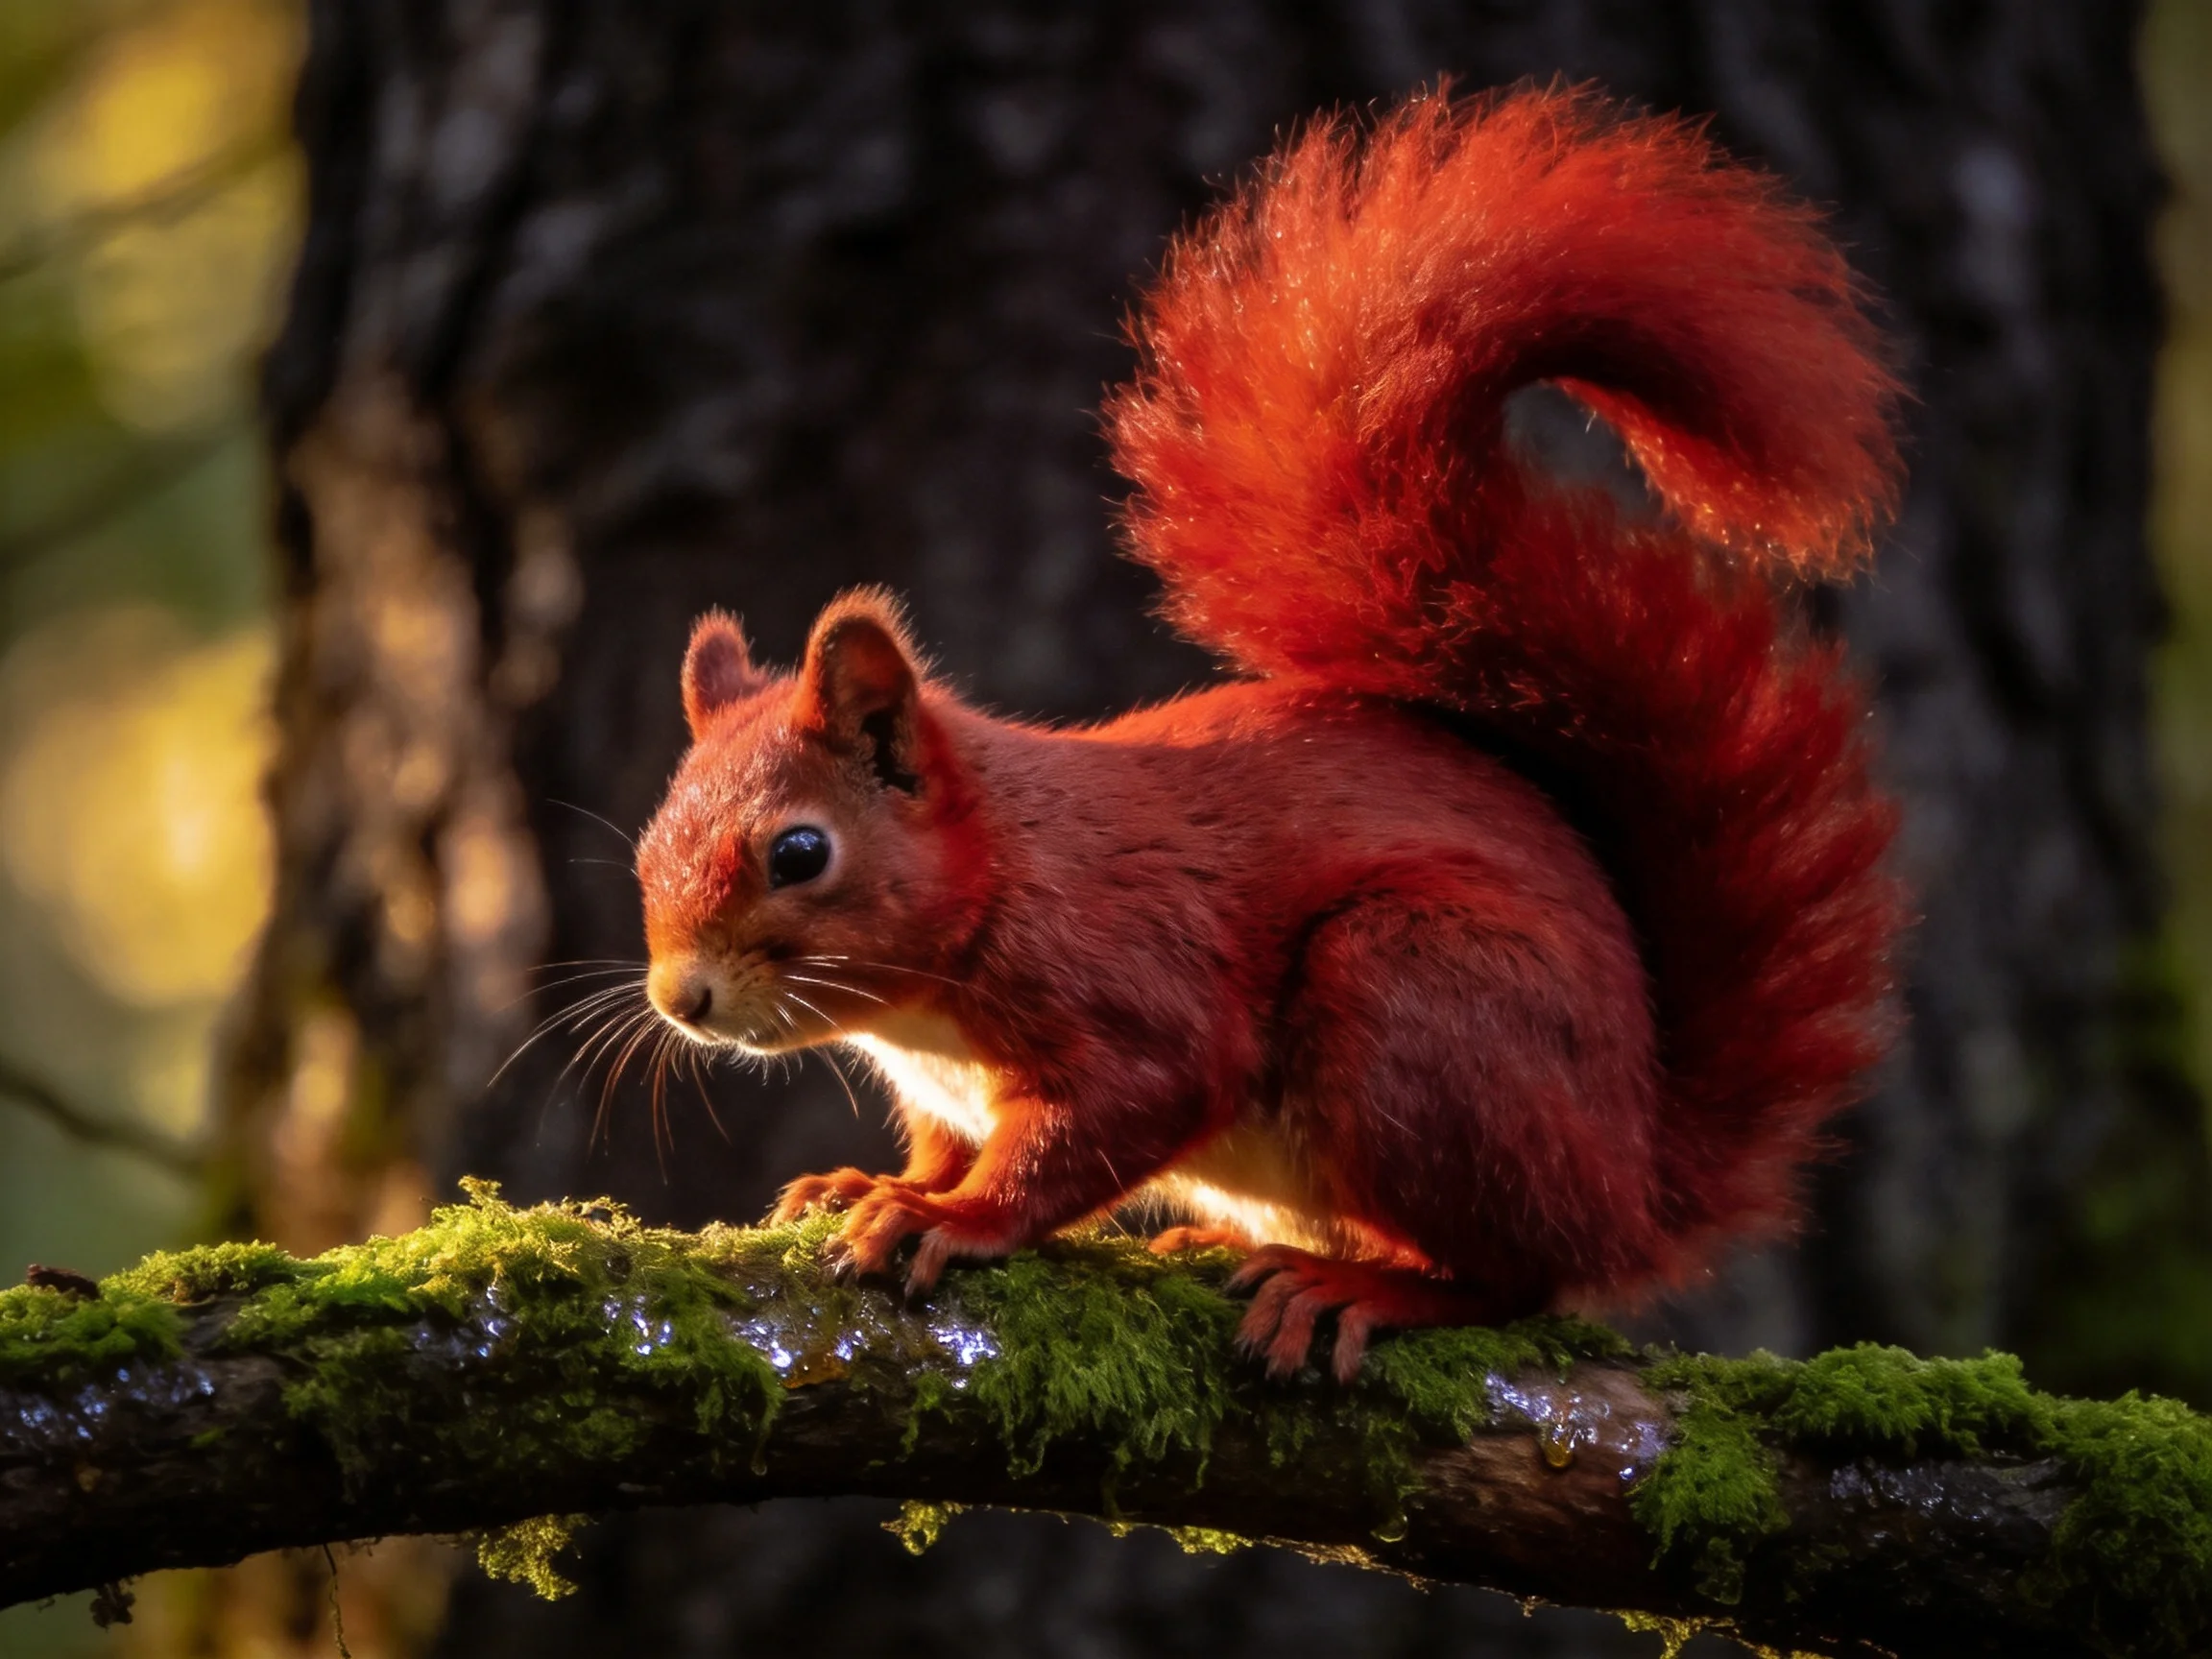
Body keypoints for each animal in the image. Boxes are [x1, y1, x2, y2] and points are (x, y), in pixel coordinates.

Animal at [633, 86, 1906, 1382]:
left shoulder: (1134, 982)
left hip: (1418, 998)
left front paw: (955, 1217)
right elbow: (947, 1142)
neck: (997, 875)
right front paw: (867, 1184)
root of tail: (1637, 1180)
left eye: (800, 853)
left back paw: (1357, 1286)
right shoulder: (947, 1090)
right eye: (643, 851)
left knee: (1517, 1278)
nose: (681, 999)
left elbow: (1096, 1126)